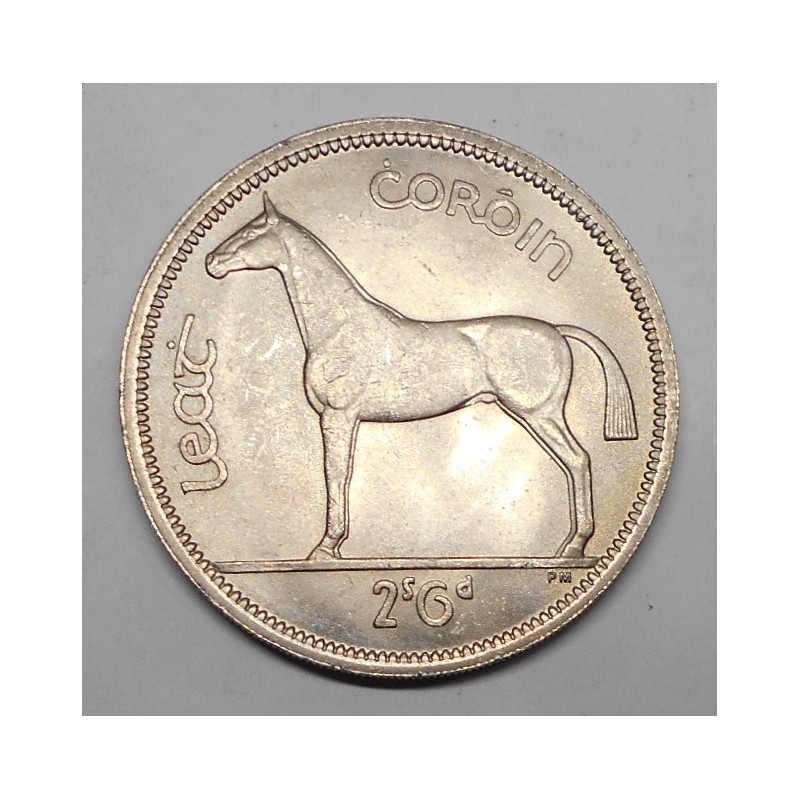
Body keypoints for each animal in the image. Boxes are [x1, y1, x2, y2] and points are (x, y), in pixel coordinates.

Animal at [206, 192, 638, 561]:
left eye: (251, 232)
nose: (212, 261)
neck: (340, 327)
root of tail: (557, 330)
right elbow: (341, 475)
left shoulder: (338, 416)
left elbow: (336, 475)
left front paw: (326, 548)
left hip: (539, 414)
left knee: (578, 460)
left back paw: (573, 547)